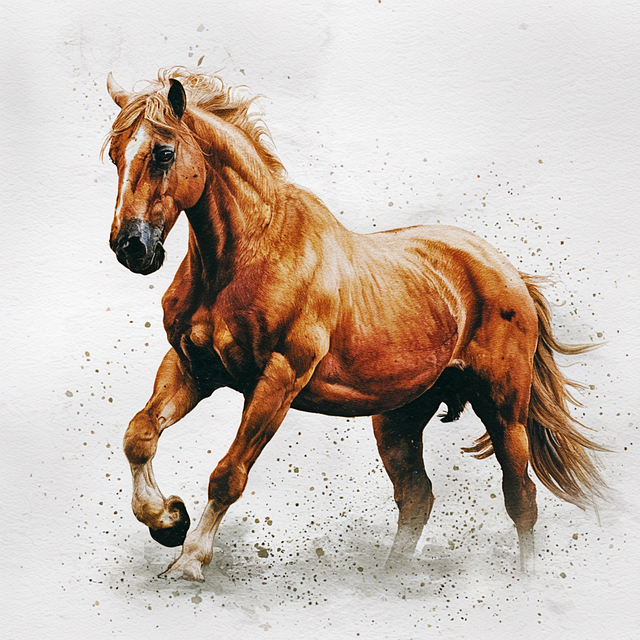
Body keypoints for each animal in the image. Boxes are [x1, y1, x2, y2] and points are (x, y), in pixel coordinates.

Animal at [104, 68, 606, 582]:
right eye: (115, 153)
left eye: (164, 153)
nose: (131, 247)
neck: (246, 256)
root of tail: (511, 275)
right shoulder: (193, 368)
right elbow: (139, 436)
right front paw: (168, 520)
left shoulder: (278, 379)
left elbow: (227, 476)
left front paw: (188, 561)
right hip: (398, 418)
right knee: (417, 496)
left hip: (505, 409)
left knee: (520, 498)